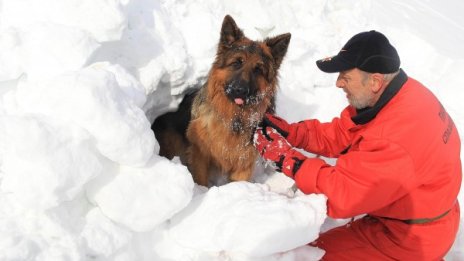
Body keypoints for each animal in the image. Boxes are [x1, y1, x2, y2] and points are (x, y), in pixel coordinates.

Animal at [152, 15, 290, 185]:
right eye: (237, 62)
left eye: (258, 69)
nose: (240, 90)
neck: (233, 118)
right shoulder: (200, 155)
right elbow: (200, 180)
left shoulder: (243, 164)